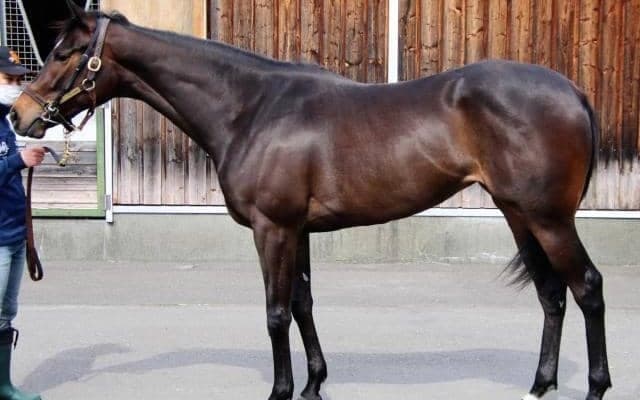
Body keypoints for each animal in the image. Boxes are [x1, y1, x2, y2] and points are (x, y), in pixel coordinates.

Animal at [10, 5, 611, 400]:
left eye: (64, 53)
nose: (19, 114)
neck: (252, 107)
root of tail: (574, 92)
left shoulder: (271, 228)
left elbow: (276, 313)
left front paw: (281, 391)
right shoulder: (295, 230)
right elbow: (302, 305)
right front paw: (313, 384)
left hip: (549, 219)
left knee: (586, 289)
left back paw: (594, 387)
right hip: (519, 214)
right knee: (552, 294)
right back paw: (540, 384)